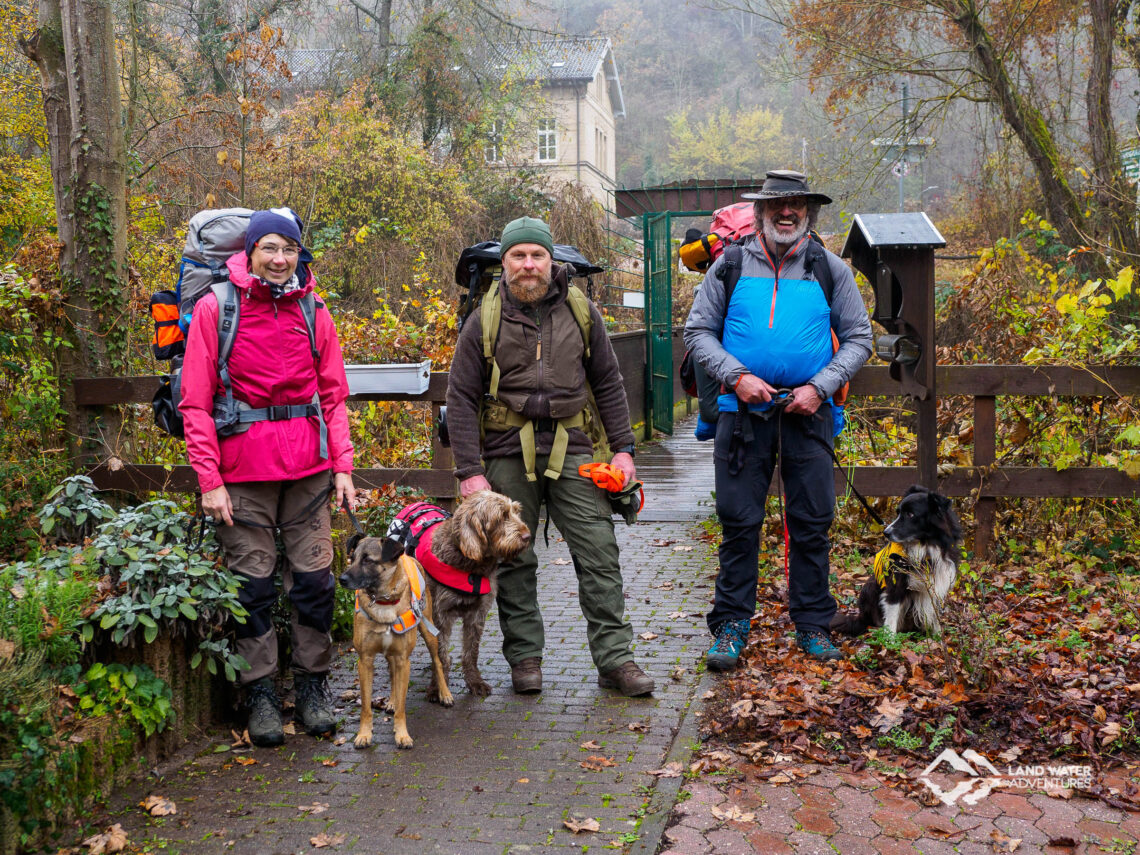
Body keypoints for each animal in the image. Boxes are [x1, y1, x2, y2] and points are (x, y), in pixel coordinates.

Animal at [337, 542, 453, 747]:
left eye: (368, 559)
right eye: (352, 557)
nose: (341, 579)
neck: (384, 602)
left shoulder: (403, 660)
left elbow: (402, 705)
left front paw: (402, 735)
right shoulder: (365, 661)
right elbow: (366, 706)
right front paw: (364, 734)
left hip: (428, 631)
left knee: (437, 662)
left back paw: (445, 694)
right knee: (392, 674)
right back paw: (391, 700)